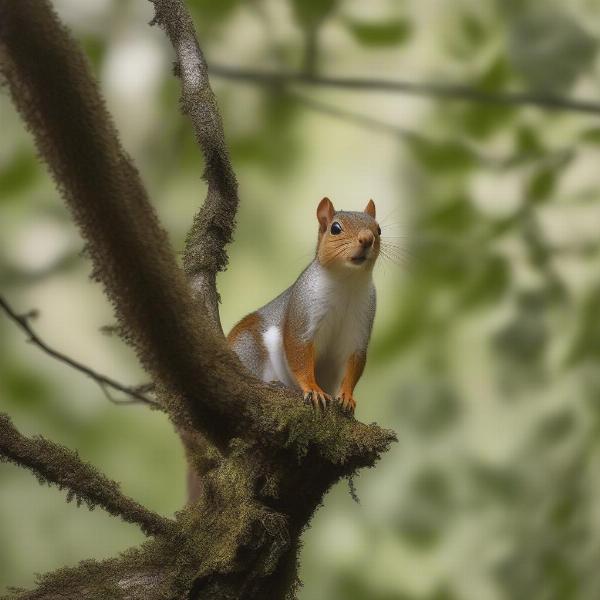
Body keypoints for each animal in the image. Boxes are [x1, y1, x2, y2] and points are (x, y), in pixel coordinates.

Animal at [226, 197, 380, 412]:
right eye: (335, 228)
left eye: (378, 229)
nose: (367, 238)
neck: (347, 280)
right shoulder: (303, 308)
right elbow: (298, 352)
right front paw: (313, 389)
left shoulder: (362, 323)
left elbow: (354, 363)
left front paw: (347, 396)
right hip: (248, 349)